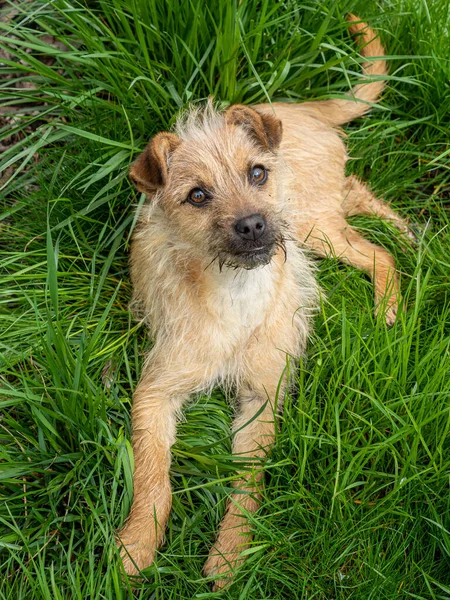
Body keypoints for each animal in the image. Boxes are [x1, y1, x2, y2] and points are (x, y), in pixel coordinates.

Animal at [118, 14, 414, 592]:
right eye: (197, 195)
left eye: (256, 173)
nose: (254, 225)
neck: (235, 295)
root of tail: (299, 110)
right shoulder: (156, 391)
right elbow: (152, 474)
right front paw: (138, 544)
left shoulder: (261, 396)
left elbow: (248, 485)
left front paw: (232, 553)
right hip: (316, 221)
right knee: (358, 198)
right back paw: (409, 235)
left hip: (309, 224)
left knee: (375, 251)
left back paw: (391, 297)